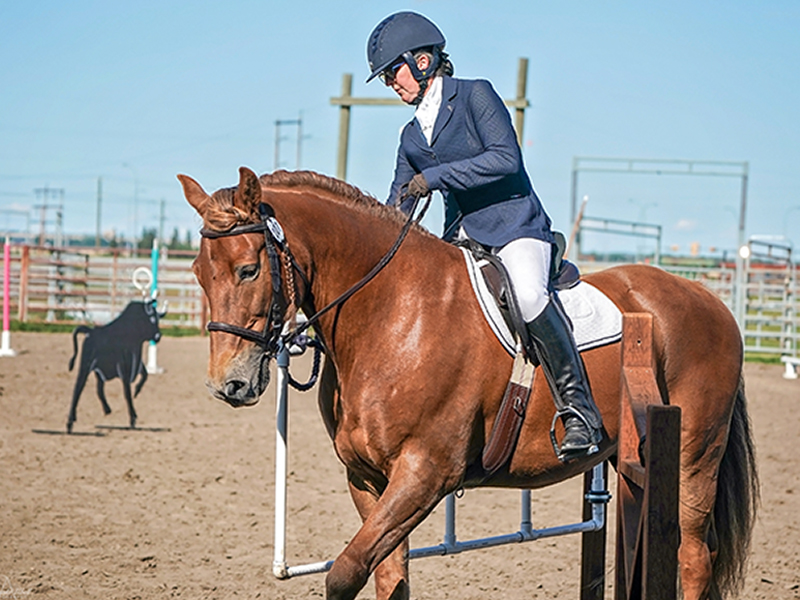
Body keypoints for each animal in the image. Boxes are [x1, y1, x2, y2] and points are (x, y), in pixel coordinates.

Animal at [179, 167, 758, 600]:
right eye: (200, 274)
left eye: (250, 270)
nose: (227, 385)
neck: (390, 312)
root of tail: (709, 300)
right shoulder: (367, 479)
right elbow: (388, 576)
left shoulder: (425, 474)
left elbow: (344, 575)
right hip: (630, 456)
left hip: (692, 458)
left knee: (693, 555)